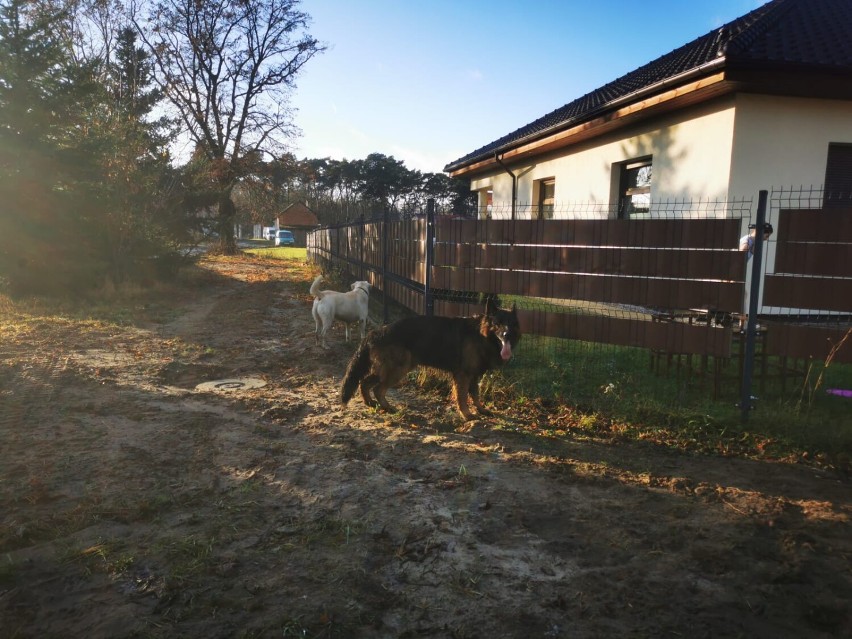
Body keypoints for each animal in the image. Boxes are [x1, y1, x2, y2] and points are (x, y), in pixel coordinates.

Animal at [340, 300, 520, 420]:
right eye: (498, 323)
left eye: (511, 323)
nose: (507, 335)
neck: (481, 335)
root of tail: (376, 332)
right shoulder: (463, 375)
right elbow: (462, 396)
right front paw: (467, 414)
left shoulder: (473, 375)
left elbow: (475, 395)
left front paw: (481, 409)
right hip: (398, 369)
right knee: (377, 388)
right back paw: (387, 407)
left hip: (392, 369)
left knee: (364, 382)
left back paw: (371, 403)